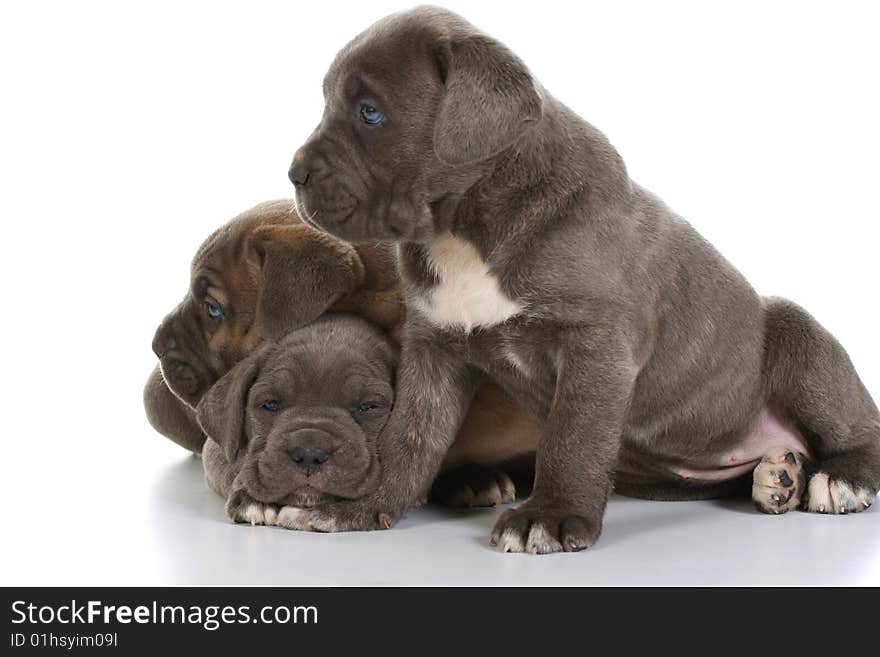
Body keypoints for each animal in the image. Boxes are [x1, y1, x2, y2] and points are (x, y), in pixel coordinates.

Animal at [199, 312, 396, 524]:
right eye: (270, 404)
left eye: (368, 407)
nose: (309, 454)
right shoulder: (215, 450)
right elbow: (234, 464)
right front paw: (252, 498)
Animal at [286, 6, 876, 548]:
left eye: (369, 113)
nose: (295, 173)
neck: (466, 226)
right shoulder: (434, 345)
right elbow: (409, 434)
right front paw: (360, 506)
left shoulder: (596, 343)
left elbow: (572, 435)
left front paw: (548, 516)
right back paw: (778, 476)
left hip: (797, 332)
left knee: (859, 425)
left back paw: (837, 478)